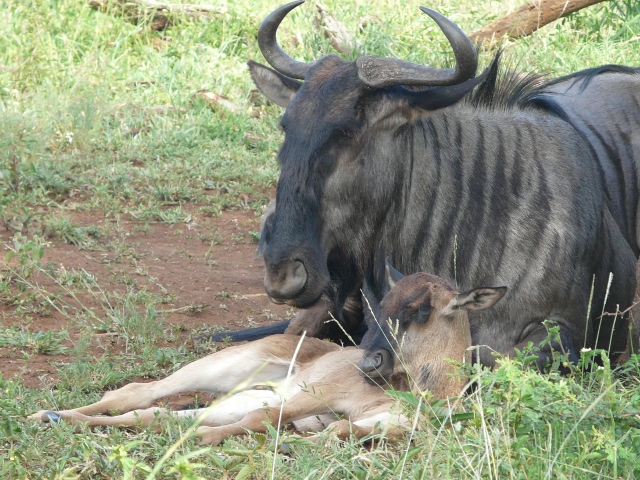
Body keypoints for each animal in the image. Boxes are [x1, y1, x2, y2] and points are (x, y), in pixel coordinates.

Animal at [28, 268, 504, 444]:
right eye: (382, 305)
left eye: (419, 309)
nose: (369, 364)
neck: (424, 394)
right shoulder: (314, 395)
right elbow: (265, 423)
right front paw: (206, 442)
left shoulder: (375, 426)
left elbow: (332, 432)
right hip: (226, 367)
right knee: (137, 392)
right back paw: (41, 415)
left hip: (251, 391)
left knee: (159, 415)